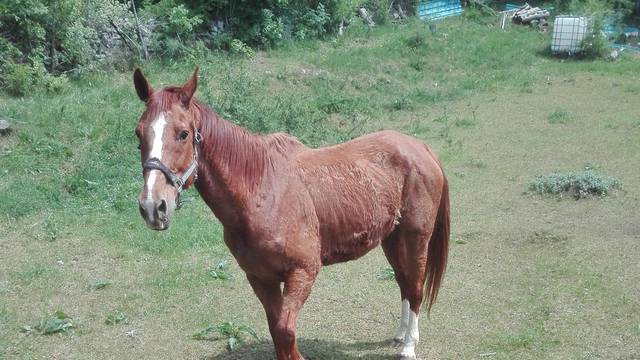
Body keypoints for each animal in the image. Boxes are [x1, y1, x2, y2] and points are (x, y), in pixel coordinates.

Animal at [132, 68, 448, 360]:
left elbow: (286, 332)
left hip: (416, 235)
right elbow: (277, 331)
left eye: (183, 134)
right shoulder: (261, 278)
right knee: (403, 281)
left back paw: (408, 346)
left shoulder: (302, 272)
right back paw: (400, 335)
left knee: (415, 286)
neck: (262, 190)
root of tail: (419, 147)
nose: (153, 207)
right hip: (392, 238)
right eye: (138, 135)